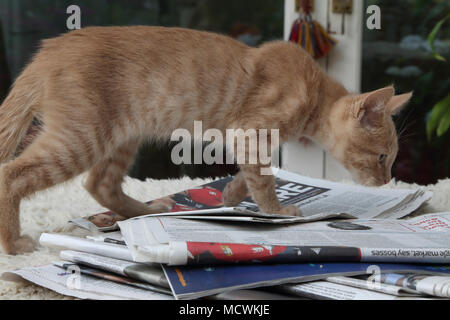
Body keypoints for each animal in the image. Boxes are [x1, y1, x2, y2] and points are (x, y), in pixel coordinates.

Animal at [0, 26, 412, 254]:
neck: (312, 90)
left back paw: (146, 211)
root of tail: (48, 52)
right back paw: (13, 244)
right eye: (382, 157)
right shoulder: (250, 129)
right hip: (80, 137)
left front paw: (231, 195)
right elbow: (264, 178)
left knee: (100, 183)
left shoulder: (250, 138)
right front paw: (277, 212)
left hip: (120, 137)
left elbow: (252, 173)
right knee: (11, 175)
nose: (386, 180)